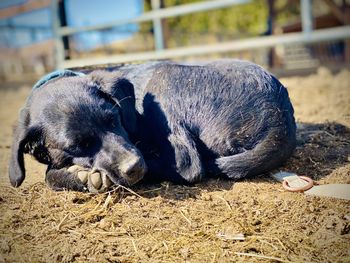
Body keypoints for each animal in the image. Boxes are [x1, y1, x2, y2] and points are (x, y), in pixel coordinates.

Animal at [8, 59, 296, 193]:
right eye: (78, 145)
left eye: (114, 119)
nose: (134, 167)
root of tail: (280, 118)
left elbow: (48, 175)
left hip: (163, 77)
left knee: (189, 166)